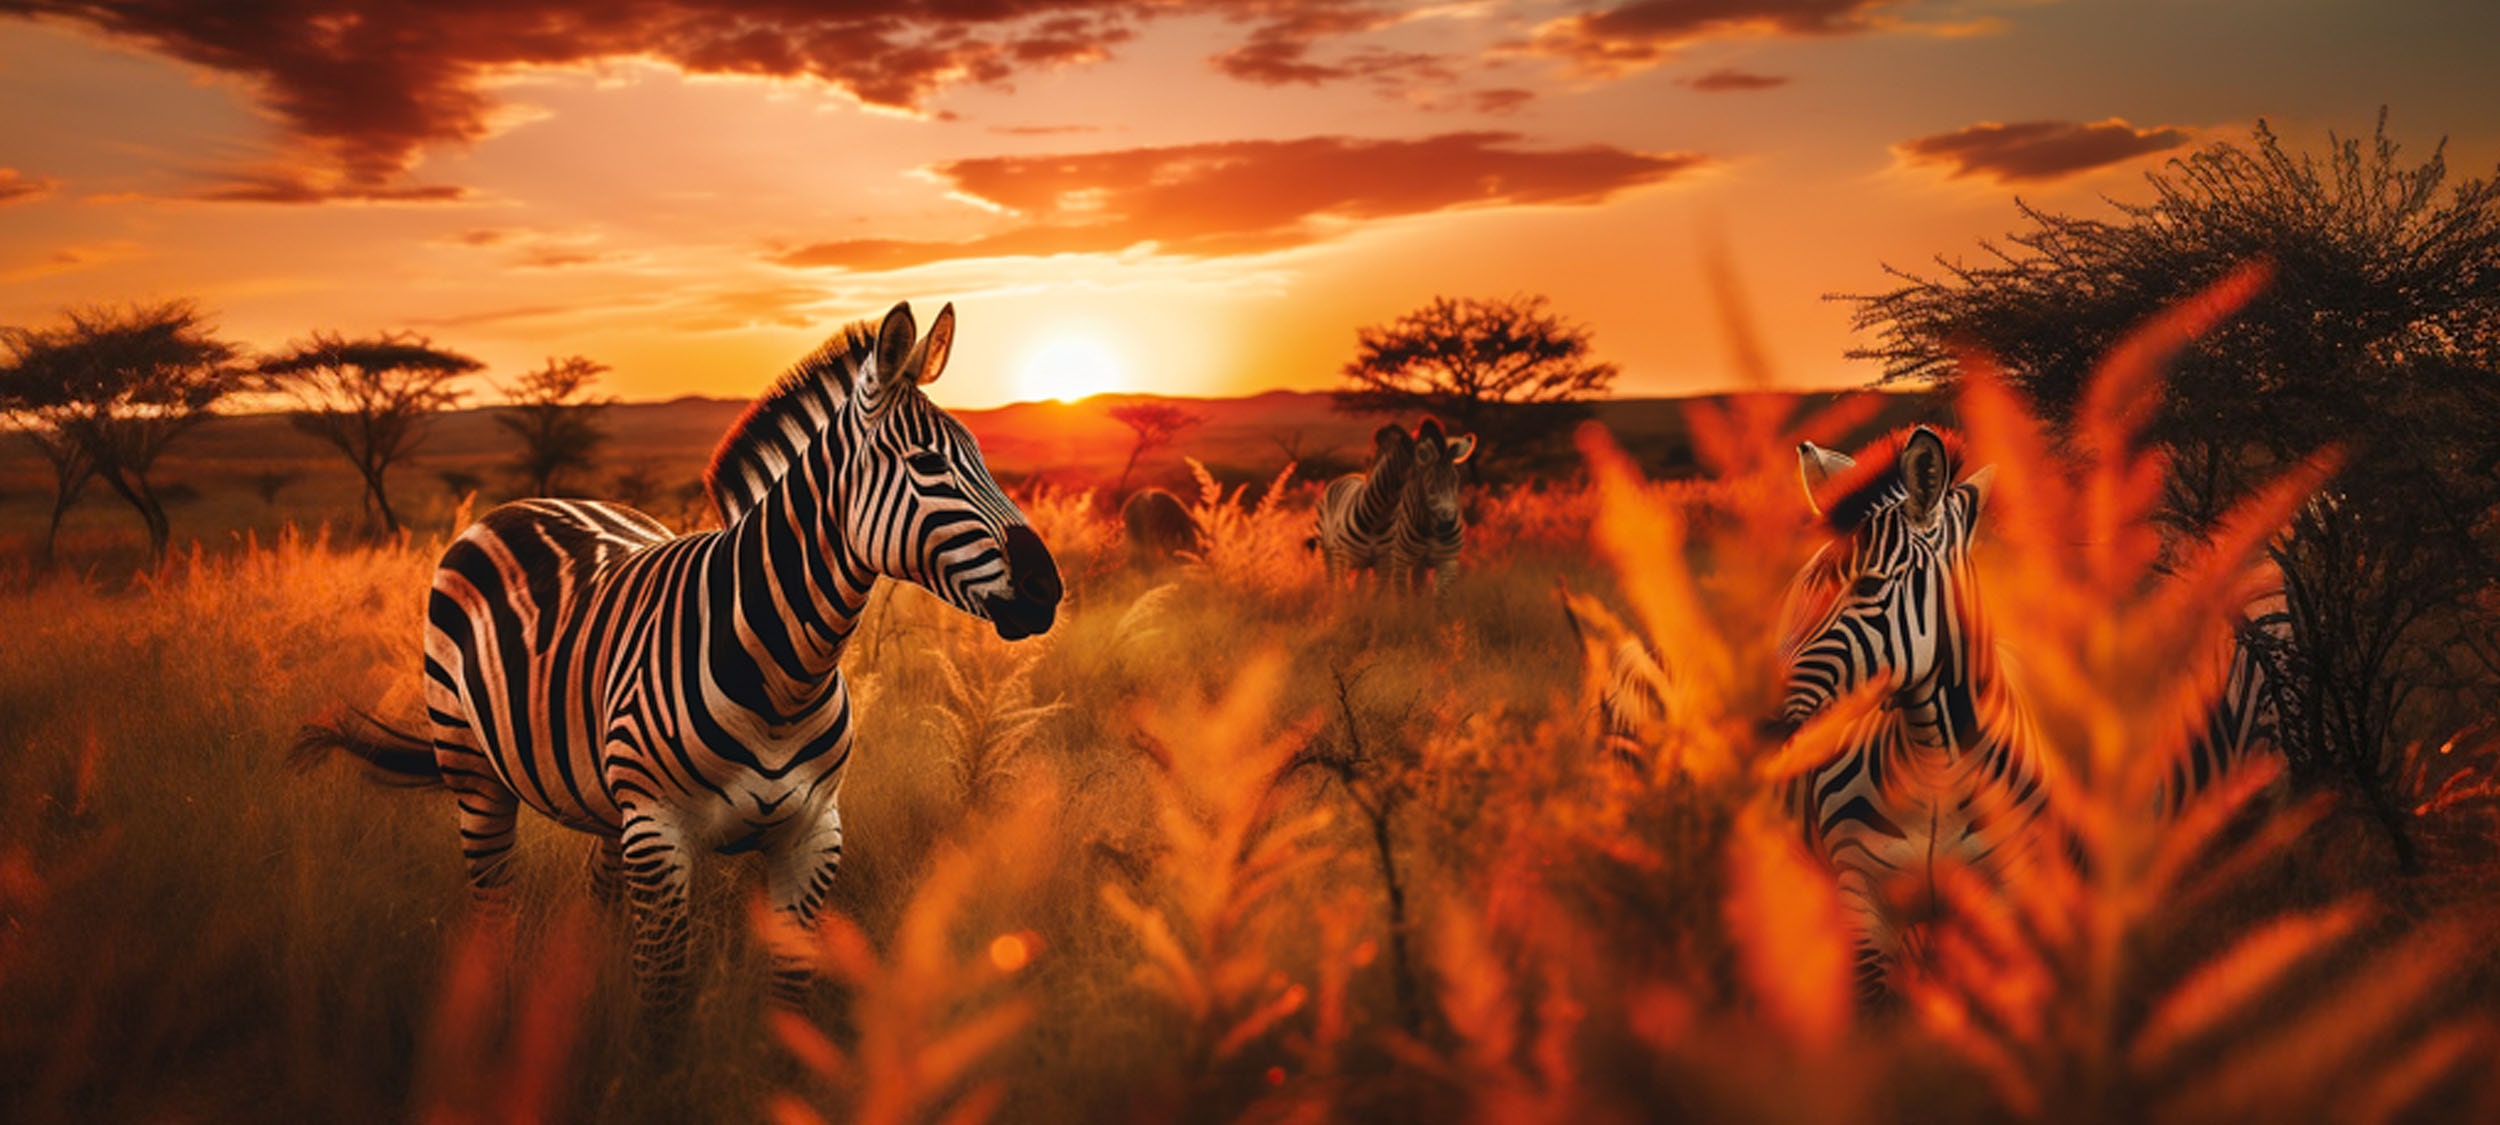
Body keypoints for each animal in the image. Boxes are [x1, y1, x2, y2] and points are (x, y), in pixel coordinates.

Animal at [298, 301, 1062, 1013]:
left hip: (608, 808)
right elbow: (663, 999)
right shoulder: (661, 835)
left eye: (983, 458)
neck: (785, 673)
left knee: (594, 900)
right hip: (478, 775)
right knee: (495, 912)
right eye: (929, 465)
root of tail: (521, 503)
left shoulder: (812, 835)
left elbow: (790, 998)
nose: (1047, 588)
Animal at [1313, 419, 1478, 594]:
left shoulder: (1392, 563)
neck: (1375, 521)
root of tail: (1348, 476)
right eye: (1428, 482)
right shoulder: (1386, 561)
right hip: (1329, 554)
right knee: (1331, 584)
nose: (1447, 525)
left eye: (1456, 479)